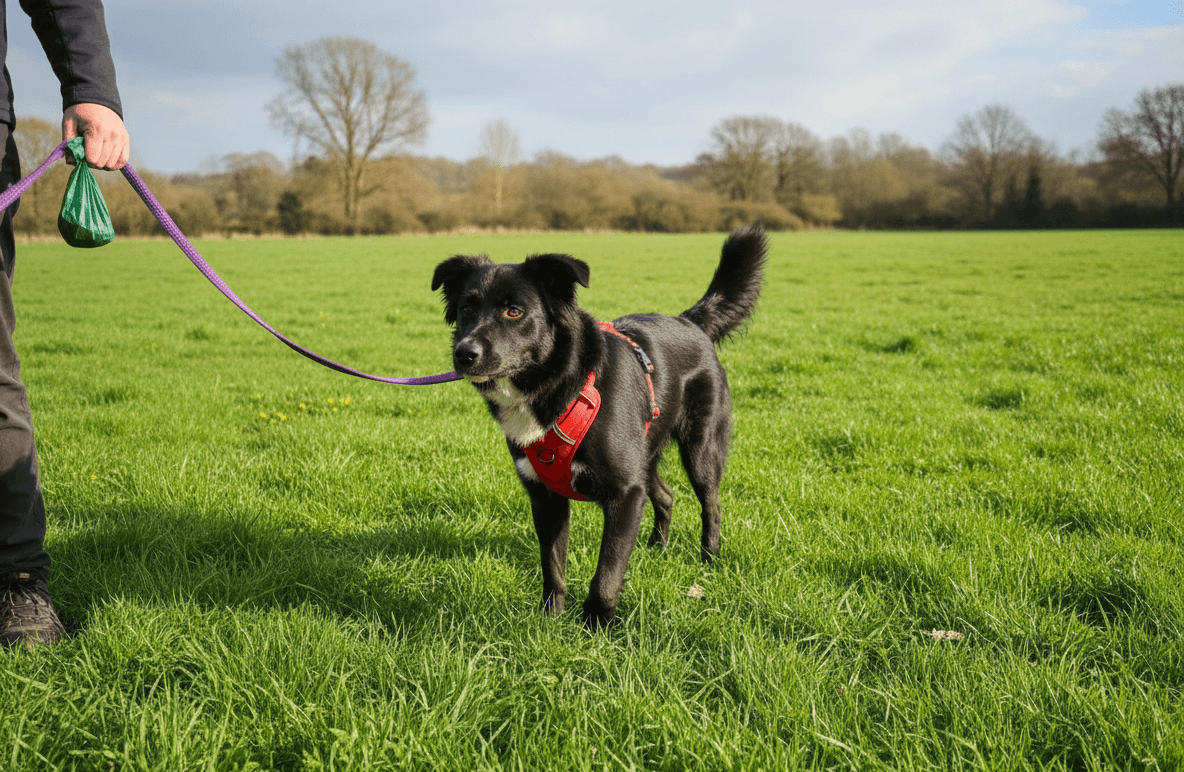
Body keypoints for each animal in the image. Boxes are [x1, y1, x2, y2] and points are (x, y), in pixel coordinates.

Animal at [431, 226, 766, 628]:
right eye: (466, 308)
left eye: (514, 311)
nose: (464, 353)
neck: (562, 386)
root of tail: (689, 321)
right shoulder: (546, 498)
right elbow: (553, 567)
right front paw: (550, 622)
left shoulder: (626, 493)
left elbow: (607, 572)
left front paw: (595, 628)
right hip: (644, 454)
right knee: (666, 494)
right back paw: (656, 548)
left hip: (700, 449)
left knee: (711, 505)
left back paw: (709, 561)